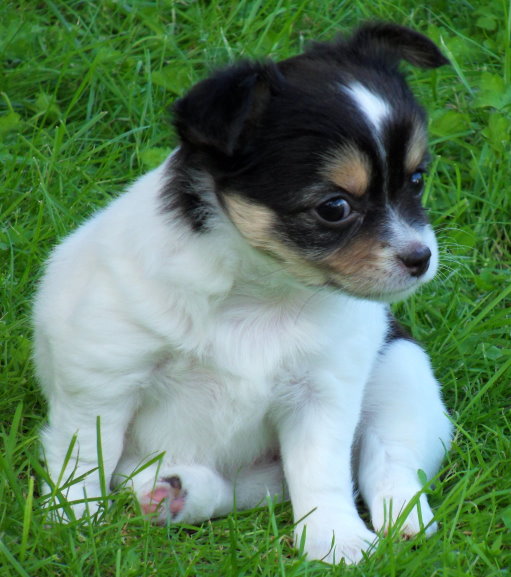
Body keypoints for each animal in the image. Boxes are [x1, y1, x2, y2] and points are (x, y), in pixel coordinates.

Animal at [33, 23, 453, 564]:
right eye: (334, 207)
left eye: (417, 181)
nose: (420, 258)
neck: (261, 292)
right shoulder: (105, 376)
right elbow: (83, 453)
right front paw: (73, 520)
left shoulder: (323, 391)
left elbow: (322, 470)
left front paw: (334, 537)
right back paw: (176, 493)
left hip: (402, 370)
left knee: (387, 458)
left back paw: (405, 521)